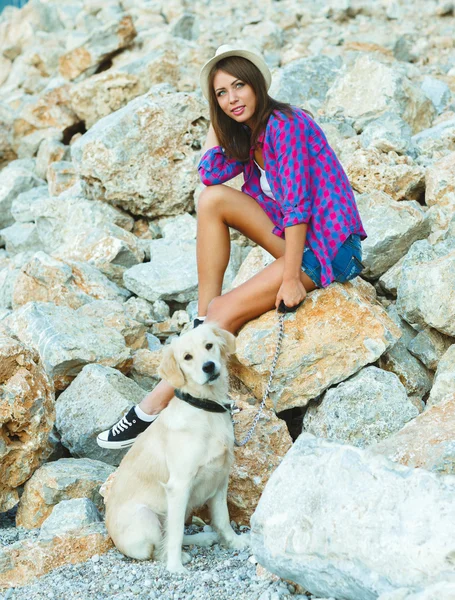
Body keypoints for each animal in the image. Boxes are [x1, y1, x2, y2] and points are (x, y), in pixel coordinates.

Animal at [105, 324, 249, 572]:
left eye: (209, 345)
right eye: (187, 357)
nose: (208, 366)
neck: (206, 408)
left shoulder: (220, 478)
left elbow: (222, 519)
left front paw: (234, 541)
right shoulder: (179, 486)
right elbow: (176, 534)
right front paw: (175, 568)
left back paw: (203, 538)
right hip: (146, 517)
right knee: (159, 546)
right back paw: (180, 556)